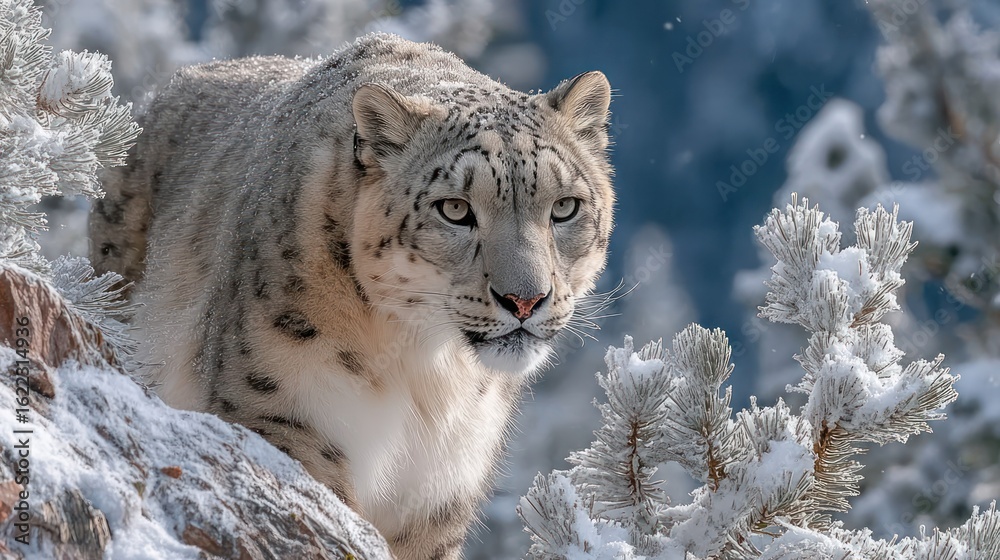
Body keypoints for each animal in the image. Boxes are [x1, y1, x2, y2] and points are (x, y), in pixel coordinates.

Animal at [89, 32, 614, 559]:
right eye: (455, 209)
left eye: (564, 207)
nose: (526, 300)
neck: (429, 375)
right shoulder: (285, 414)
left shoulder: (440, 488)